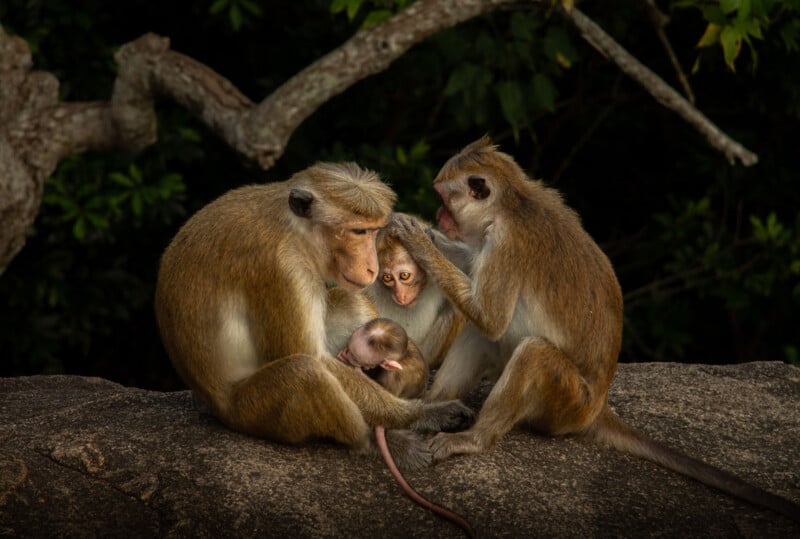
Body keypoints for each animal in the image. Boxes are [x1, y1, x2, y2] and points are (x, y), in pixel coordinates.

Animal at [154, 161, 474, 472]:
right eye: (359, 232)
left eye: (373, 231)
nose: (372, 267)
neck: (294, 231)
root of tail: (214, 405)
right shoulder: (282, 267)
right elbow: (313, 358)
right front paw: (421, 414)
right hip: (249, 414)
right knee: (305, 373)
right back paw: (375, 443)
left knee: (349, 301)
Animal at [388, 136, 800, 522]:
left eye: (445, 198)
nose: (438, 215)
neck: (511, 206)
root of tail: (597, 408)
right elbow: (477, 288)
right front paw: (415, 228)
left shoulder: (508, 244)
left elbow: (489, 317)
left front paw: (419, 241)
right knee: (483, 337)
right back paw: (428, 408)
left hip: (567, 404)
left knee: (531, 351)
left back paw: (473, 439)